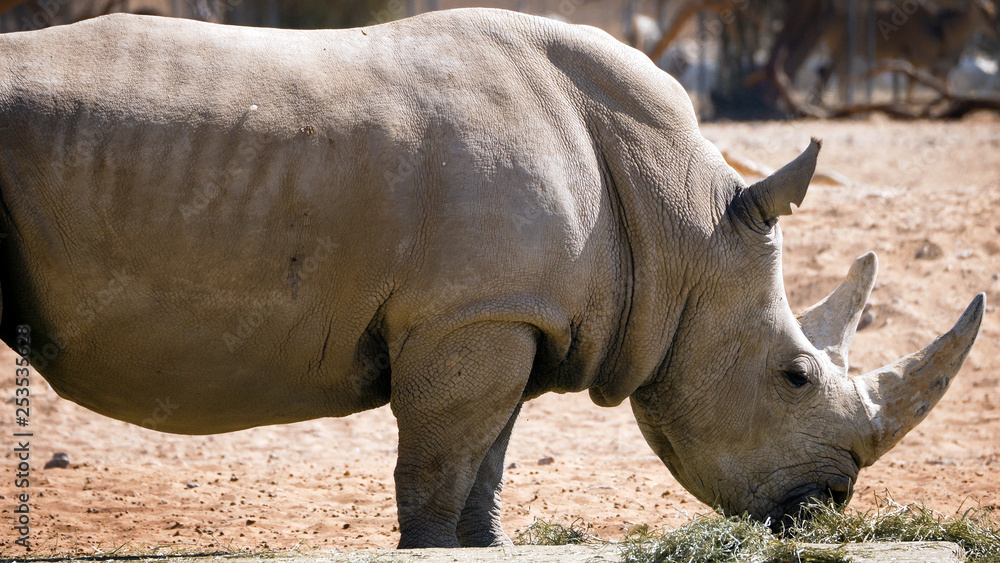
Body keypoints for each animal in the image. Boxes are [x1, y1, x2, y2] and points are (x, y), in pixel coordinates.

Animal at [0, 8, 984, 549]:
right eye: (795, 375)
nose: (829, 504)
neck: (685, 222)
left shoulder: (512, 313)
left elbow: (488, 448)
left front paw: (485, 544)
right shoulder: (467, 315)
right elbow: (439, 458)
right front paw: (430, 547)